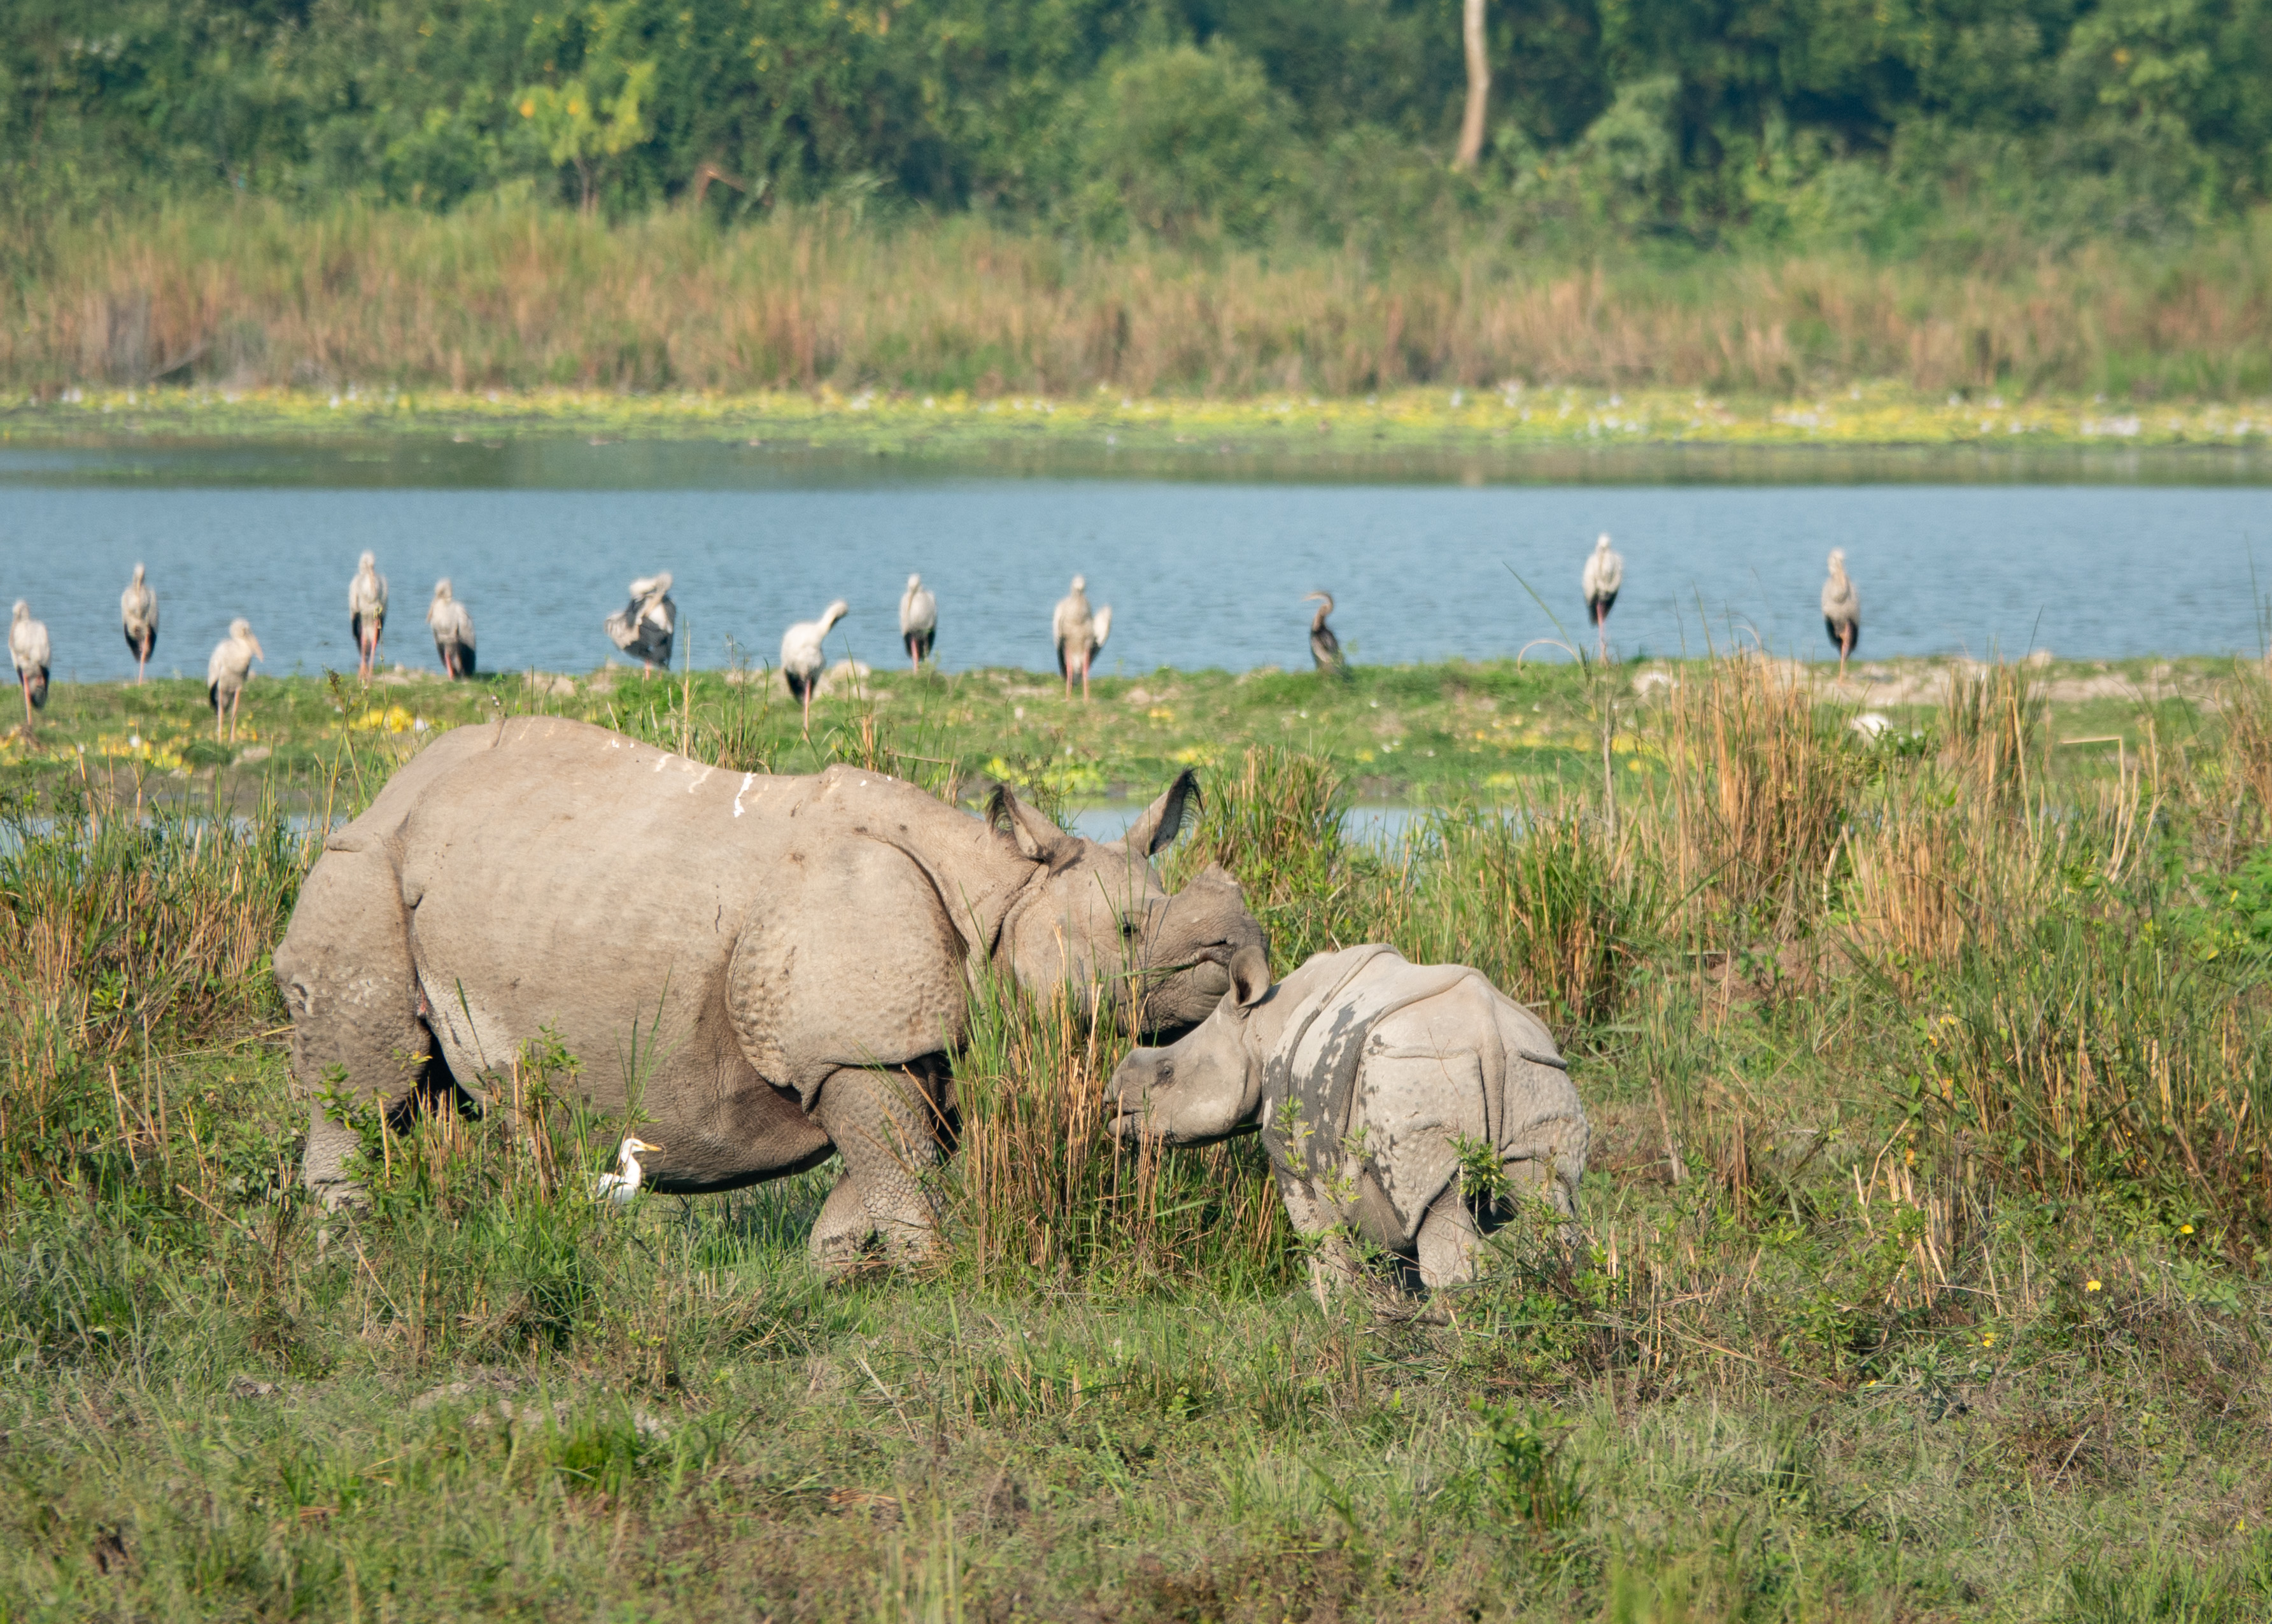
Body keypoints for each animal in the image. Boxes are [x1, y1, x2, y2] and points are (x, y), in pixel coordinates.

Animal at [273, 716, 1266, 1264]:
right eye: (1131, 935)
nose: (1249, 966)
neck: (1001, 890)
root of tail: (386, 792)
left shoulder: (914, 1043)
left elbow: (880, 1181)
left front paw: (839, 1277)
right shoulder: (855, 1043)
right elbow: (902, 1179)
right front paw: (931, 1276)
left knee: (431, 1096)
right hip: (361, 868)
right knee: (368, 1089)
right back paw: (347, 1258)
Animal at [1109, 943, 1589, 1303]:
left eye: (1166, 1072)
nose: (1113, 1100)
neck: (1259, 1027)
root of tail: (1488, 1031)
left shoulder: (1291, 1155)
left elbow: (1321, 1243)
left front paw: (1338, 1312)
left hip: (1416, 1067)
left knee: (1443, 1207)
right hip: (1533, 1067)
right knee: (1547, 1191)